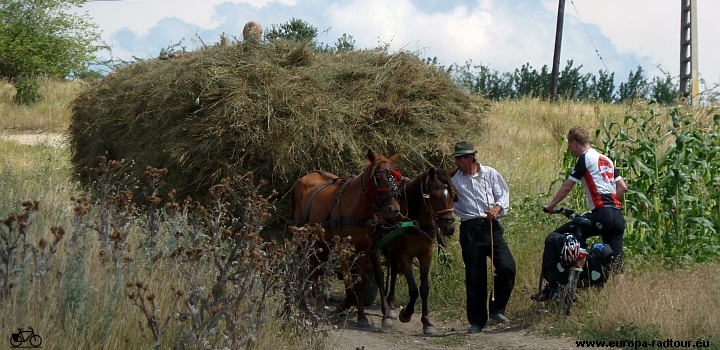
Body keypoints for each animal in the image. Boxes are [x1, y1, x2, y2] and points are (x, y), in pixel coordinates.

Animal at [292, 149, 404, 326]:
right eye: (378, 178)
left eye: (397, 179)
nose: (393, 209)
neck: (356, 209)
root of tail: (307, 176)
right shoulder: (343, 250)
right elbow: (350, 283)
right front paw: (342, 308)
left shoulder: (365, 249)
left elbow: (360, 283)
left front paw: (362, 316)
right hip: (303, 237)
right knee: (304, 265)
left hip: (321, 243)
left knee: (314, 268)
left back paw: (317, 301)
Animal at [382, 168, 456, 334]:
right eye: (434, 196)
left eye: (453, 196)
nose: (449, 227)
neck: (416, 222)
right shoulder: (405, 255)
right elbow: (414, 289)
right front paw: (406, 313)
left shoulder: (426, 255)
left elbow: (424, 288)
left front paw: (427, 322)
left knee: (394, 270)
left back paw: (391, 304)